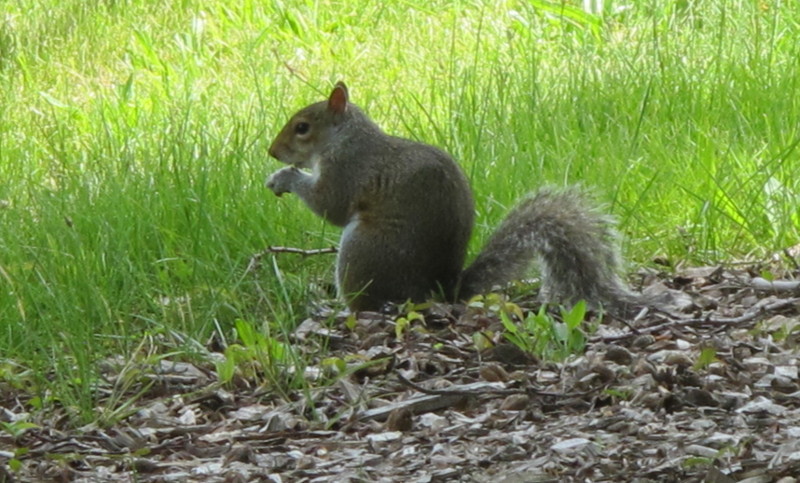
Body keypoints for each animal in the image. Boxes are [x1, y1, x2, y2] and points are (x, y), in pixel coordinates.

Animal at [268, 82, 636, 312]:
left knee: (365, 304)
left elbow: (330, 205)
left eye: (302, 128)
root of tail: (441, 291)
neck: (346, 138)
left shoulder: (349, 168)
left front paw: (284, 177)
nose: (272, 153)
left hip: (361, 250)